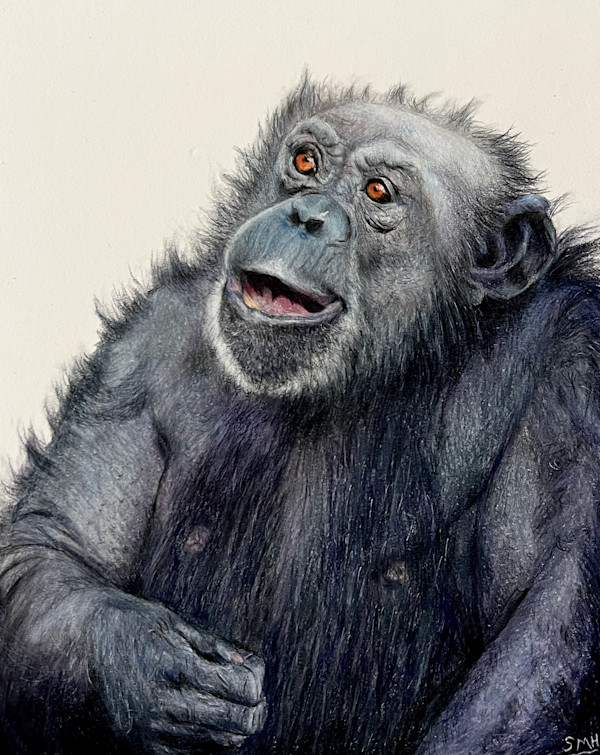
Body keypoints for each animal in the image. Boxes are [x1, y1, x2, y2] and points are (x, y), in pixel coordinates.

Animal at [0, 78, 598, 754]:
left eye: (378, 193)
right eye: (306, 162)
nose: (307, 215)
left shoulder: (569, 369)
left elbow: (542, 615)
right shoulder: (140, 352)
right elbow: (53, 547)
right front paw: (151, 669)